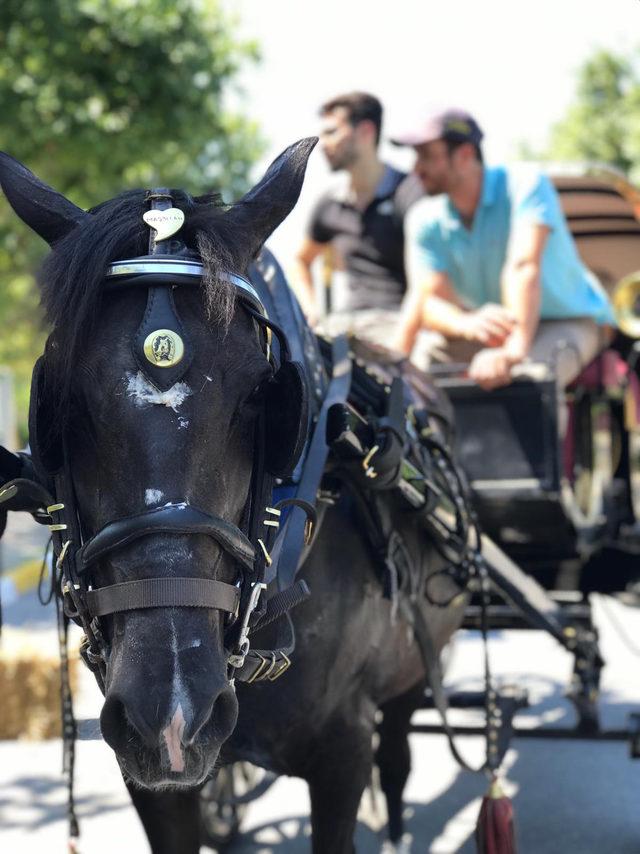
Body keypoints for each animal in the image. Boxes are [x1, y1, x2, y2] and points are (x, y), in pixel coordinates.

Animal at [1, 142, 470, 854]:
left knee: (396, 755)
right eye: (61, 404)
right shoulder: (151, 774)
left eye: (260, 398)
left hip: (416, 666)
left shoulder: (343, 753)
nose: (171, 715)